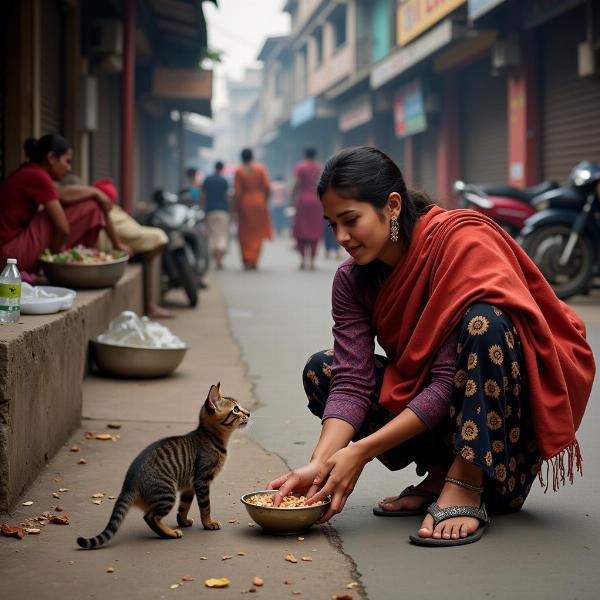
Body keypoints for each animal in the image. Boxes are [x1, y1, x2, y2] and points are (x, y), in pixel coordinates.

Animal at [77, 384, 248, 548]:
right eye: (236, 409)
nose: (249, 413)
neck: (211, 437)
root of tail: (129, 485)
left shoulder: (189, 486)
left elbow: (184, 507)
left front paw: (183, 521)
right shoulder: (202, 481)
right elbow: (206, 507)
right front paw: (209, 523)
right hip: (166, 493)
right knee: (150, 517)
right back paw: (170, 533)